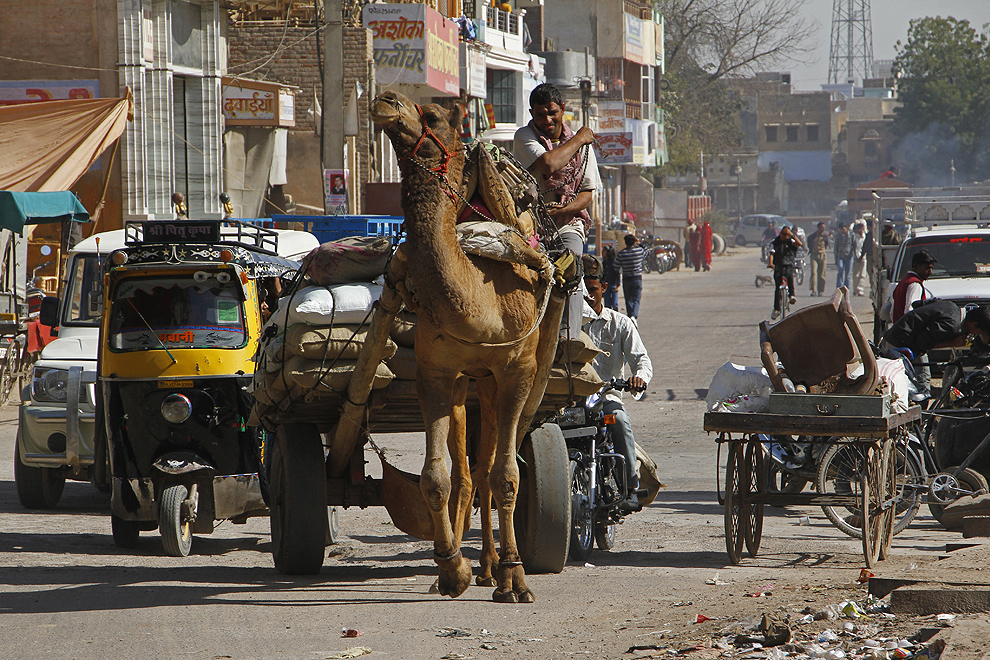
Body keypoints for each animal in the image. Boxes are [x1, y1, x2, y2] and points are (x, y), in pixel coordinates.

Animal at [372, 91, 572, 604]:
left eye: (433, 115)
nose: (386, 101)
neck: (481, 301)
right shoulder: (436, 373)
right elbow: (436, 477)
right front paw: (451, 572)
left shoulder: (517, 371)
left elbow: (507, 476)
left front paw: (516, 580)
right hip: (470, 382)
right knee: (467, 471)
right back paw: (478, 567)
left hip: (506, 378)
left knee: (489, 467)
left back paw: (497, 569)